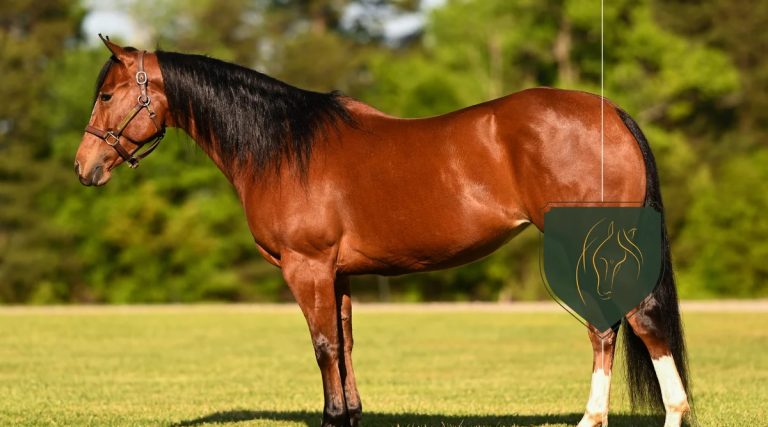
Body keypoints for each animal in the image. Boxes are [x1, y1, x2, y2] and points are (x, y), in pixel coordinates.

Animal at [75, 37, 692, 427]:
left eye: (106, 95)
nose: (85, 167)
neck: (283, 146)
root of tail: (611, 116)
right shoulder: (339, 273)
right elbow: (345, 344)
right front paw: (349, 414)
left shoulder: (307, 267)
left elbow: (323, 345)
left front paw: (330, 417)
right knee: (607, 328)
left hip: (593, 246)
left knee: (634, 321)